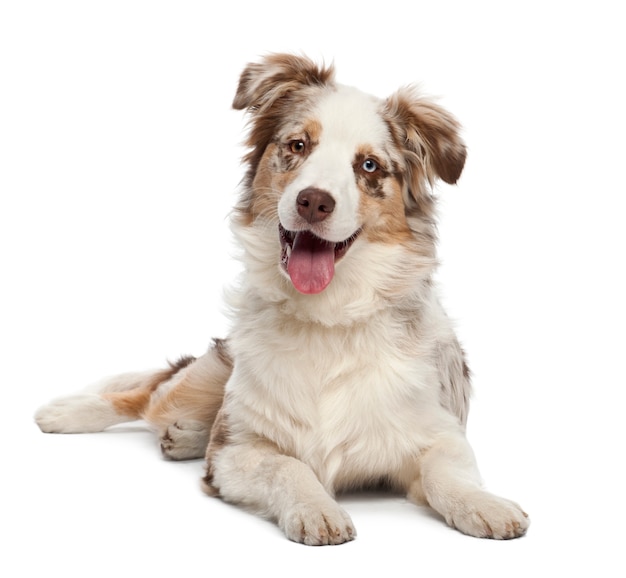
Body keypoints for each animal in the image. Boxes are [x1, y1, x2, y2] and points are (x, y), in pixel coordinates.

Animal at [35, 51, 528, 544]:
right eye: (297, 145)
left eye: (369, 166)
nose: (314, 201)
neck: (329, 317)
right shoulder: (232, 454)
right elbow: (287, 466)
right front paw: (316, 509)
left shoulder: (439, 431)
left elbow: (448, 472)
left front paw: (484, 504)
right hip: (207, 379)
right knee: (146, 395)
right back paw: (67, 412)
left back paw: (184, 435)